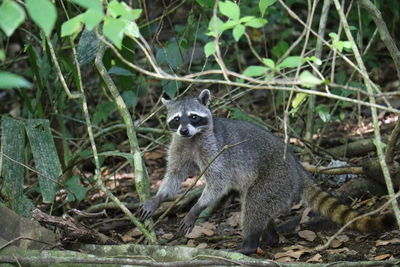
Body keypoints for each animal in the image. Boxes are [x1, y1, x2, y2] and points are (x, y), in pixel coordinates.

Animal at [139, 89, 396, 255]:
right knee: (259, 205)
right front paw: (158, 197)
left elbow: (219, 181)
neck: (192, 138)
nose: (183, 130)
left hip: (276, 178)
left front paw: (196, 208)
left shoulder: (215, 147)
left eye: (193, 116)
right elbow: (175, 174)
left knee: (254, 204)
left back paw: (249, 244)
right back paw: (270, 235)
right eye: (176, 119)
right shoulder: (180, 145)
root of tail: (298, 170)